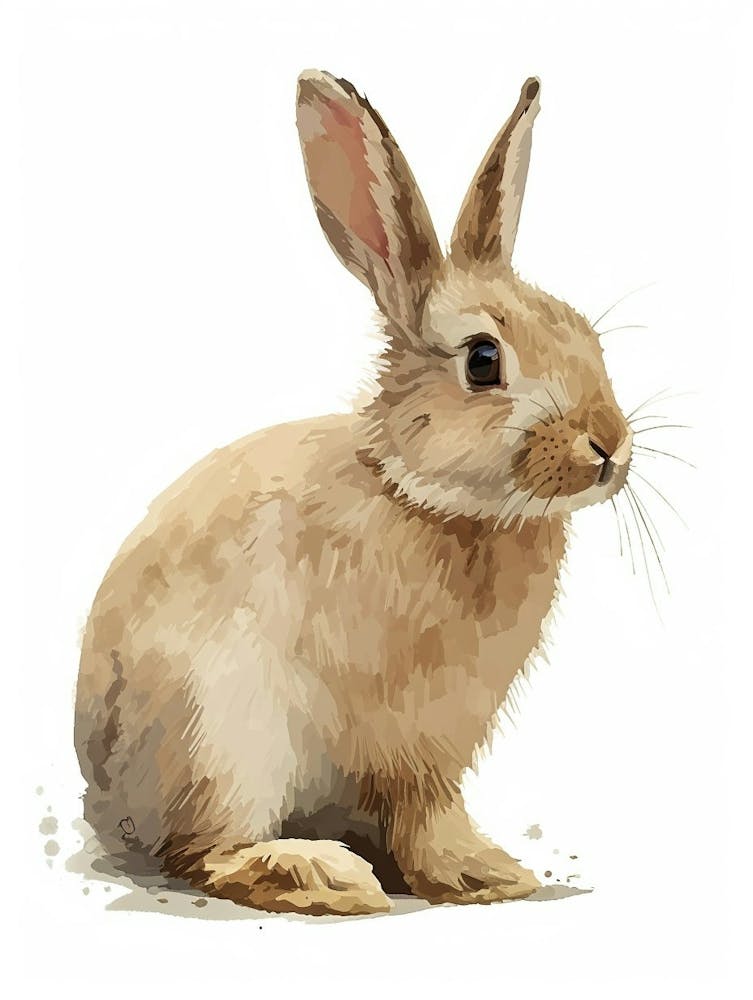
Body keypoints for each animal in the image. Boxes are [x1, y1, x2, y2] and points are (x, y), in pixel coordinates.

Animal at [75, 69, 633, 916]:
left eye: (584, 334)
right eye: (481, 360)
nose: (608, 445)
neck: (422, 497)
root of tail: (105, 804)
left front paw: (493, 872)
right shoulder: (406, 741)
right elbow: (420, 813)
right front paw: (470, 873)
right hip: (221, 736)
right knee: (205, 853)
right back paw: (320, 875)